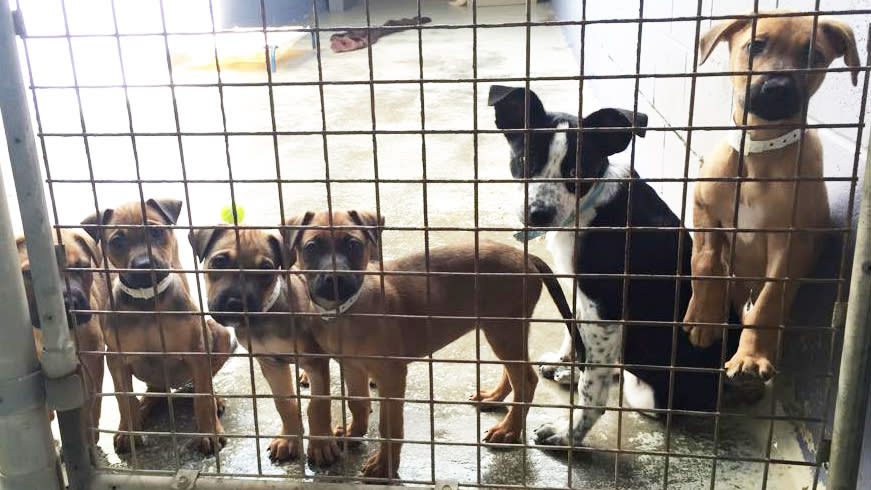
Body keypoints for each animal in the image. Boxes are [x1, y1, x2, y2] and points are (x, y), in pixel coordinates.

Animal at [16, 230, 107, 444]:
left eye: (81, 266)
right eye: (28, 273)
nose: (69, 302)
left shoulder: (93, 360)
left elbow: (92, 403)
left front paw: (89, 435)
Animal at [82, 199, 235, 456]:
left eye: (156, 231)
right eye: (117, 241)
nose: (144, 265)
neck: (148, 302)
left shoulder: (197, 351)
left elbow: (202, 398)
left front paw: (209, 433)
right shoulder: (116, 359)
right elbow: (124, 399)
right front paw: (128, 432)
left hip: (220, 335)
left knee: (203, 385)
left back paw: (216, 400)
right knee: (151, 391)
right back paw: (145, 406)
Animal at [189, 224, 338, 466]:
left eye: (266, 269)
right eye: (219, 262)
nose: (236, 303)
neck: (265, 318)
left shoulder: (315, 361)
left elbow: (318, 404)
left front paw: (321, 443)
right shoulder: (271, 363)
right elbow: (284, 404)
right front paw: (289, 439)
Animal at [282, 210, 576, 478]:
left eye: (353, 245)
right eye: (311, 247)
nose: (335, 279)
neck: (346, 311)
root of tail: (526, 257)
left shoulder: (392, 376)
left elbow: (390, 426)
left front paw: (385, 465)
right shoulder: (352, 367)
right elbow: (358, 402)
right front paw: (355, 432)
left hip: (504, 329)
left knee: (525, 379)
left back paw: (509, 430)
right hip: (504, 328)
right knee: (514, 372)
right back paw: (494, 398)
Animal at [490, 85, 736, 448]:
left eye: (577, 171)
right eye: (525, 161)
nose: (538, 214)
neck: (587, 207)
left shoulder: (605, 307)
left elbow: (593, 389)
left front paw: (569, 433)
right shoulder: (581, 294)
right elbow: (575, 331)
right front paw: (568, 363)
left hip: (647, 390)